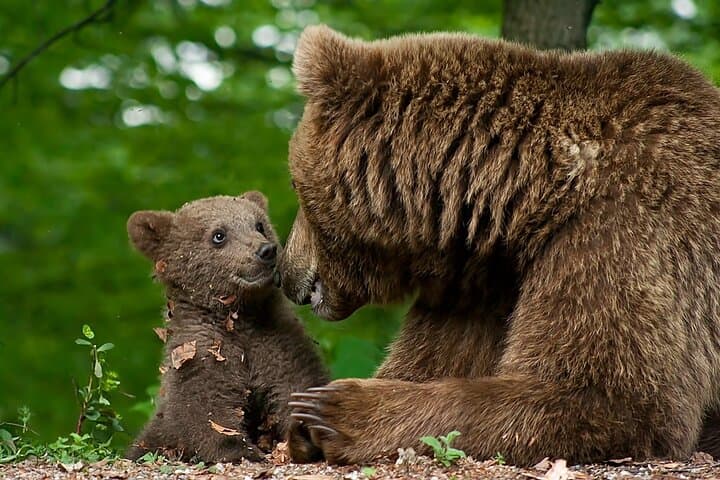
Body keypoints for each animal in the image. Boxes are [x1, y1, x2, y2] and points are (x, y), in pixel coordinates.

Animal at [125, 192, 328, 463]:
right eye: (218, 235)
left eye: (259, 225)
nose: (266, 250)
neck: (239, 318)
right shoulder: (202, 352)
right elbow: (207, 409)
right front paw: (241, 450)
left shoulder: (278, 341)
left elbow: (296, 385)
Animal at [278, 25, 720, 466]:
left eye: (295, 187)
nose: (286, 273)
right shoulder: (485, 283)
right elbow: (435, 358)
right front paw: (303, 423)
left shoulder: (623, 231)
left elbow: (613, 396)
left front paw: (333, 411)